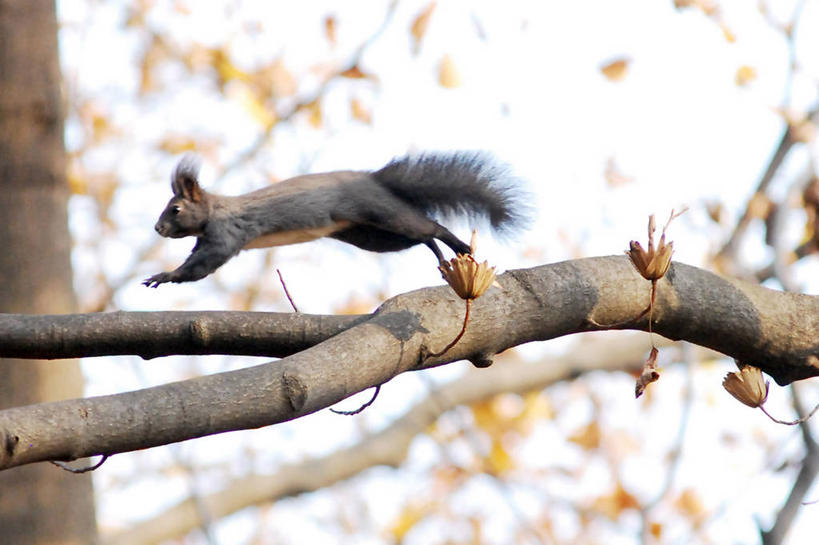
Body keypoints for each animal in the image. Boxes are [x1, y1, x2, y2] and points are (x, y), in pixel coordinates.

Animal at [143, 148, 532, 284]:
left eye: (175, 209)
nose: (158, 227)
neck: (215, 208)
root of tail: (375, 179)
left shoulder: (226, 233)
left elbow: (203, 265)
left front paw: (167, 276)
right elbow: (196, 260)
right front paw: (167, 273)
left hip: (385, 216)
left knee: (431, 226)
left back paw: (459, 247)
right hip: (374, 237)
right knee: (423, 237)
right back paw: (441, 258)